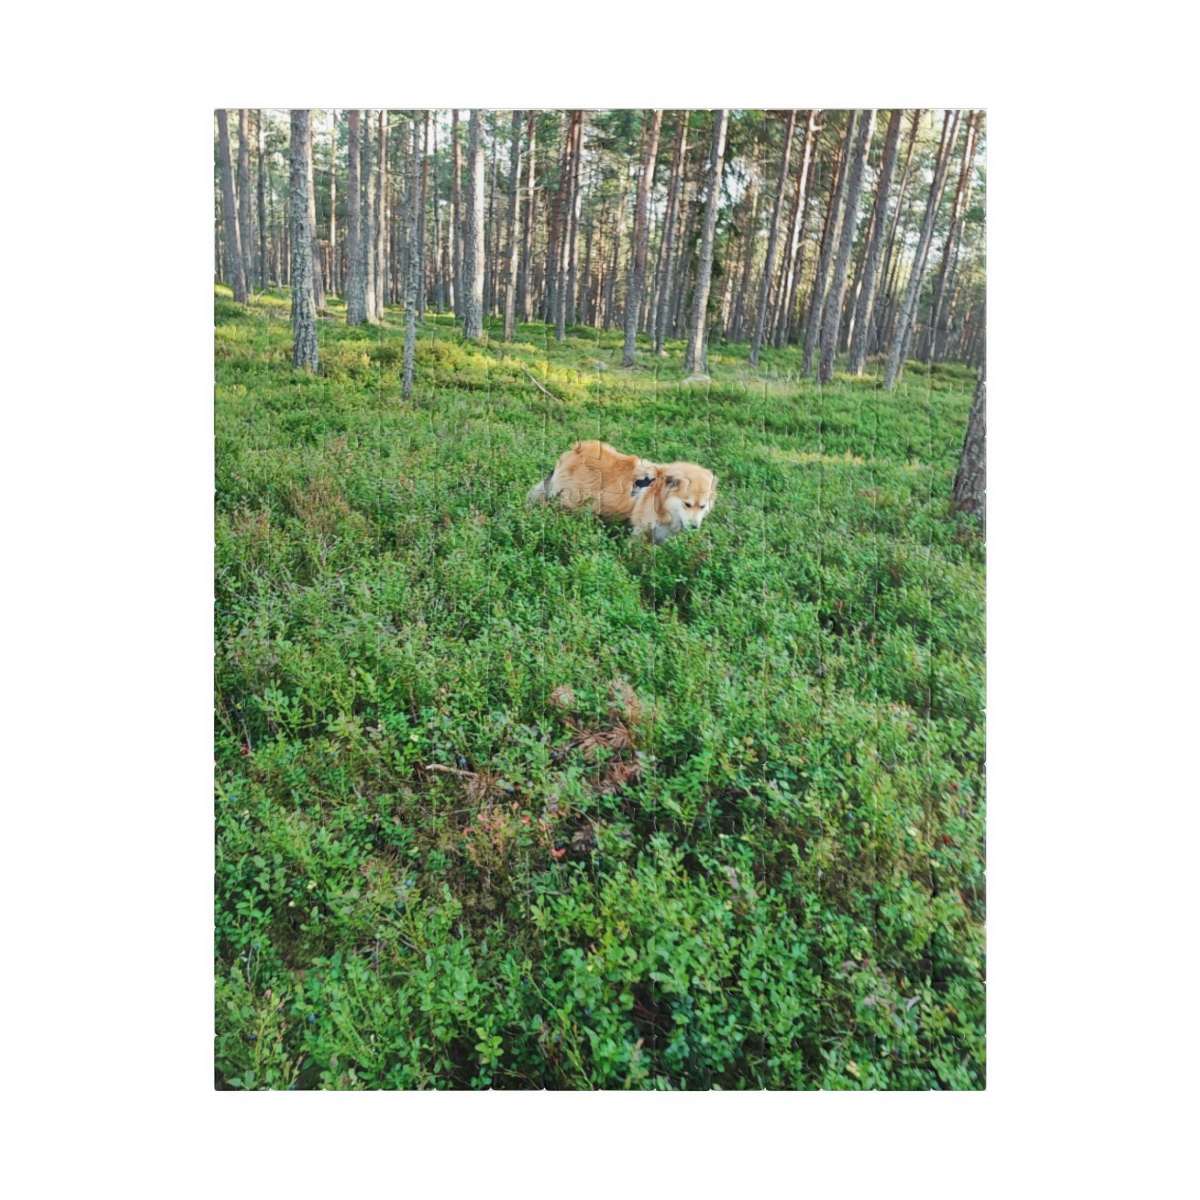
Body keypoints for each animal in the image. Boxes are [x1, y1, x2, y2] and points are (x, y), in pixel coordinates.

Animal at [527, 440, 717, 545]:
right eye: (687, 504)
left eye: (702, 507)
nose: (695, 527)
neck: (661, 499)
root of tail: (574, 452)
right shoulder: (641, 531)